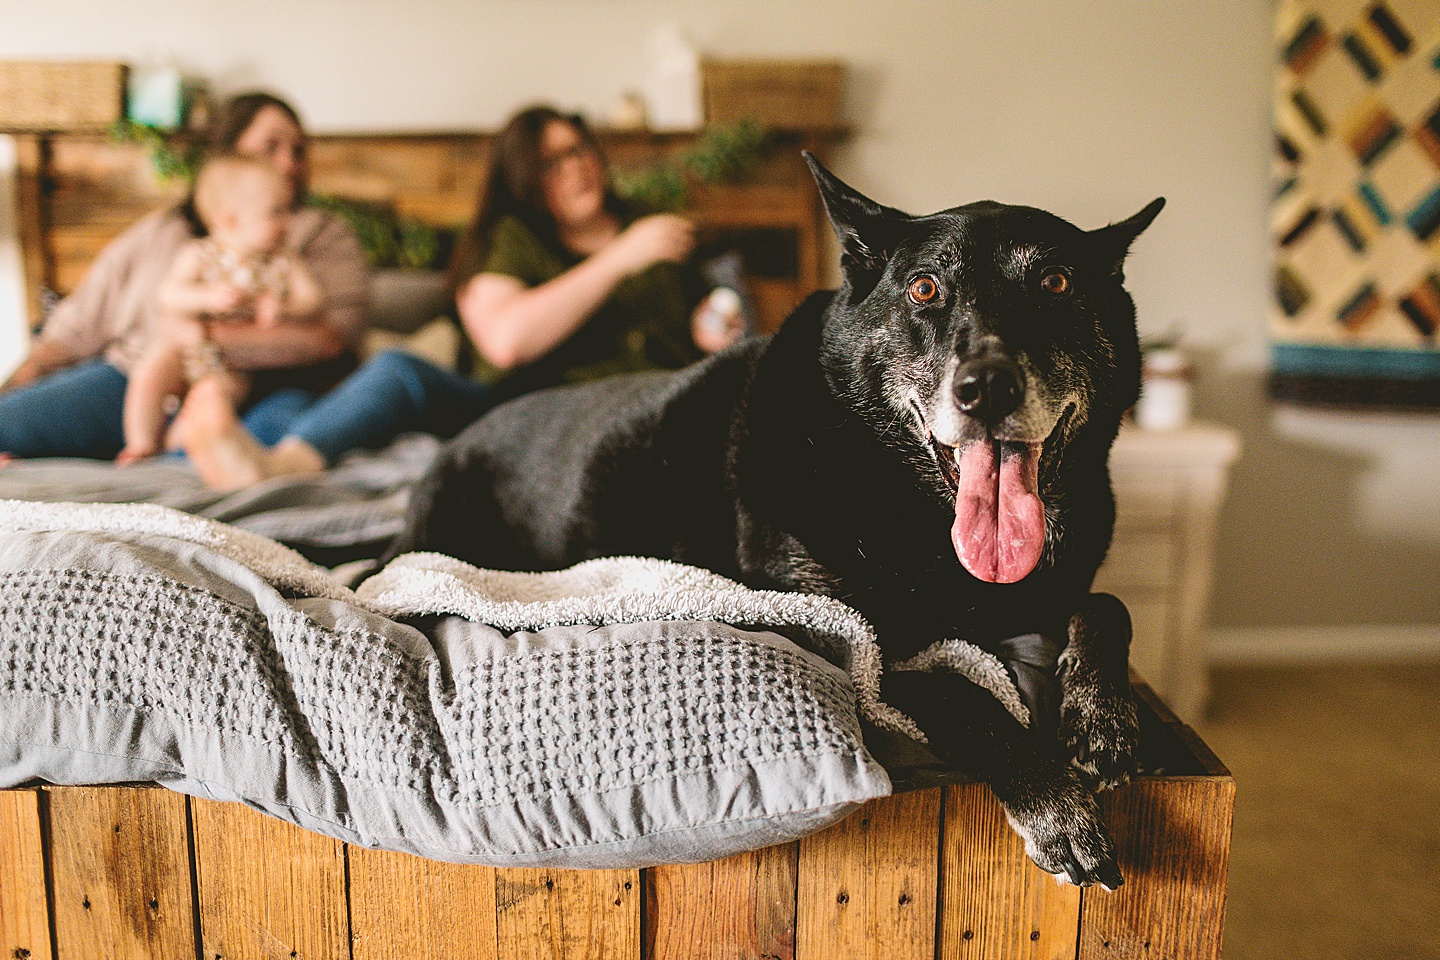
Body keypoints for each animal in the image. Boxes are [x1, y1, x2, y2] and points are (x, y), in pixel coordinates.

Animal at [388, 154, 1163, 892]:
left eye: (1057, 283)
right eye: (924, 289)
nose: (988, 389)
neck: (911, 504)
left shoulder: (1053, 591)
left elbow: (1108, 605)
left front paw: (1104, 720)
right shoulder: (844, 639)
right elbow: (958, 688)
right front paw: (1054, 802)